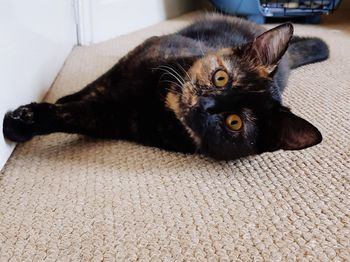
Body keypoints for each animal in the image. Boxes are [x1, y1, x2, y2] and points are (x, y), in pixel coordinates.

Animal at [4, 14, 330, 162]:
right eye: (221, 78)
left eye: (234, 122)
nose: (205, 105)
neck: (157, 98)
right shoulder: (131, 61)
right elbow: (91, 88)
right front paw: (59, 100)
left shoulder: (107, 119)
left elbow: (72, 116)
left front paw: (20, 123)